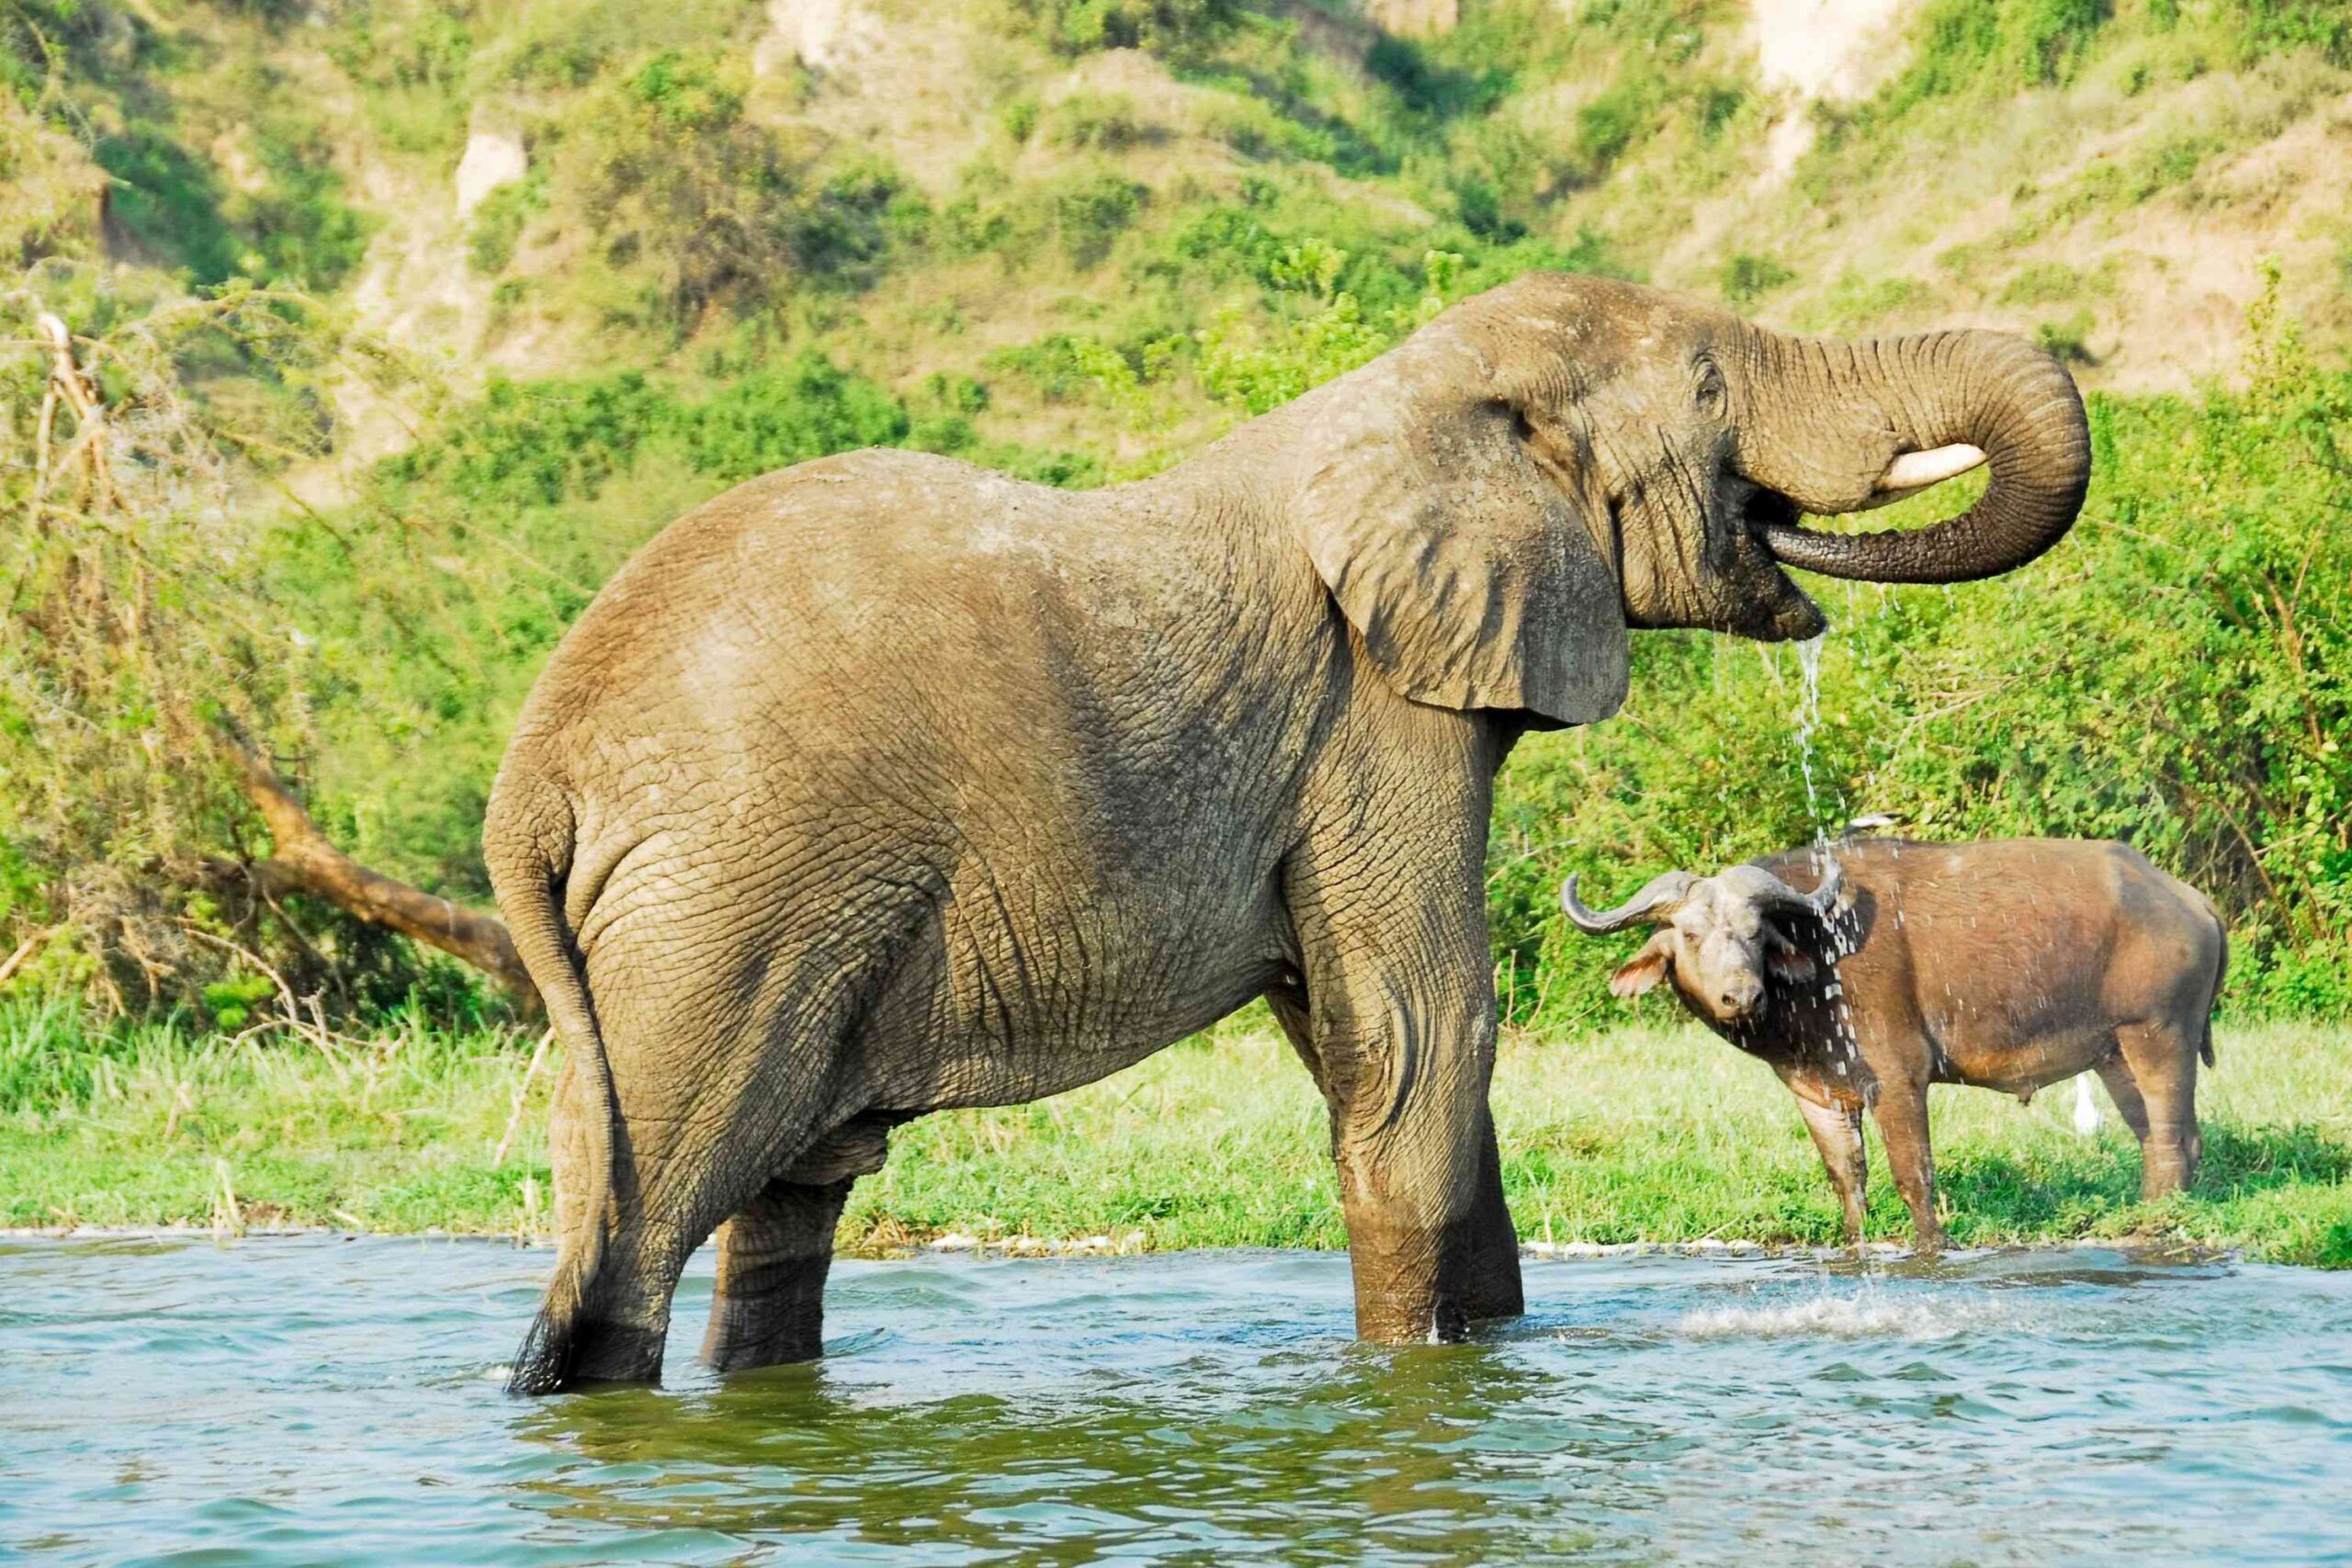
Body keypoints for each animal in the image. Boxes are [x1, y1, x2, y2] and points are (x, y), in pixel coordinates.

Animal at [485, 272, 2091, 1391]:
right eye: (1708, 383)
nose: (1792, 539)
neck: (1413, 396)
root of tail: (536, 762)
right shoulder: (1379, 715)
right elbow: (1427, 1026)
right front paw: (1409, 1380)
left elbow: (1378, 1047)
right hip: (727, 909)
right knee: (650, 1209)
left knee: (787, 1201)